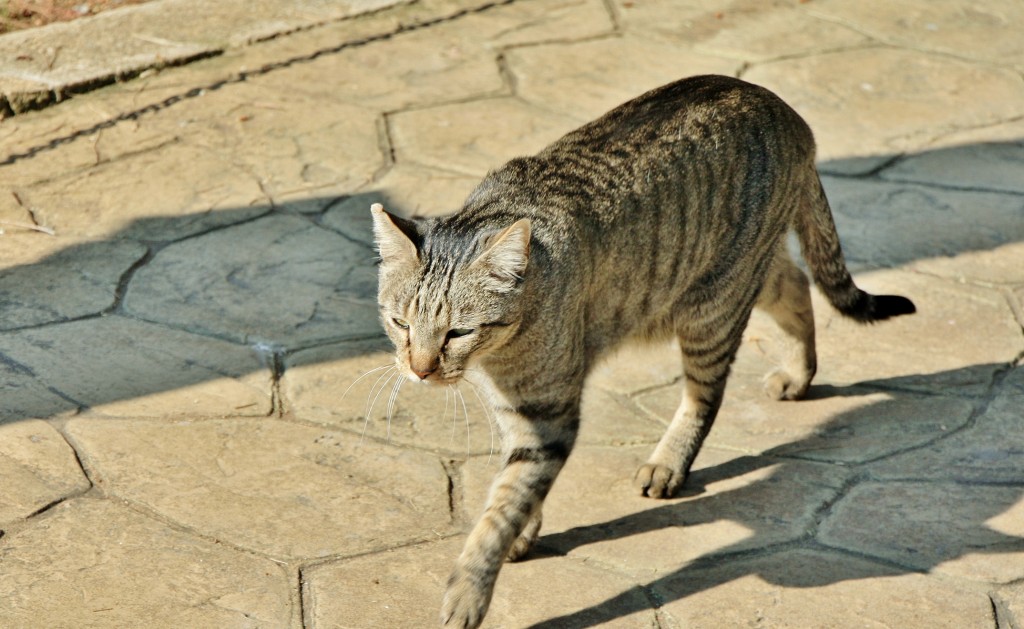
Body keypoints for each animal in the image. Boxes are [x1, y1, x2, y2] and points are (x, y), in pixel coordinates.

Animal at [372, 72, 917, 626]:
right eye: (400, 324)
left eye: (457, 333)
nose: (419, 370)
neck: (499, 353)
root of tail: (785, 109)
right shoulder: (516, 410)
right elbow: (515, 485)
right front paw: (523, 533)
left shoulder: (548, 415)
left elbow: (504, 505)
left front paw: (469, 590)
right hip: (738, 279)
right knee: (797, 284)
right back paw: (799, 373)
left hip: (712, 306)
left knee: (707, 394)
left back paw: (670, 461)